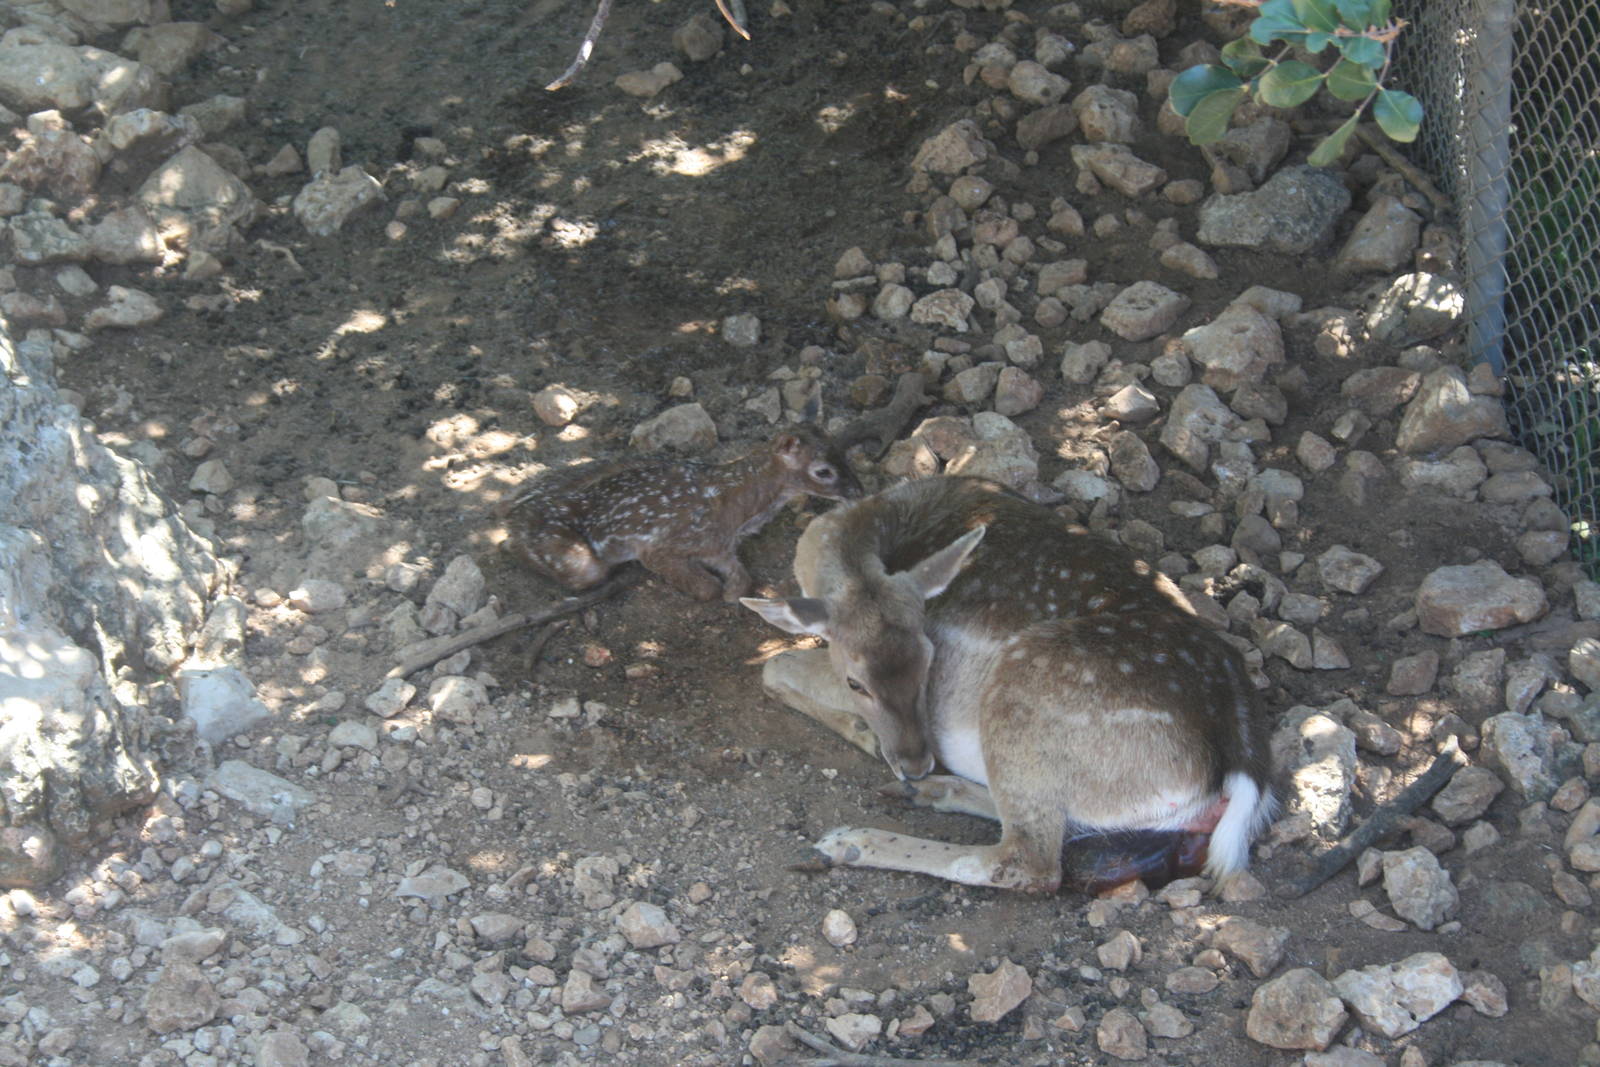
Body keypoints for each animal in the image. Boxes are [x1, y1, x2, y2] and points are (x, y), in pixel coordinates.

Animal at [500, 424, 863, 602]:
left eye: (843, 453)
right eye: (823, 471)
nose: (858, 490)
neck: (735, 509)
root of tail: (516, 515)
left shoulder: (721, 548)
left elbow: (741, 581)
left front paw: (733, 594)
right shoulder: (660, 547)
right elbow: (707, 588)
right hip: (575, 558)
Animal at [741, 475, 1276, 894]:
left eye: (931, 661)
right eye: (858, 683)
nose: (915, 762)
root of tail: (1244, 762)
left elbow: (774, 667)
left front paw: (866, 738)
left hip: (1019, 691)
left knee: (1030, 862)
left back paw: (852, 840)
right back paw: (929, 792)